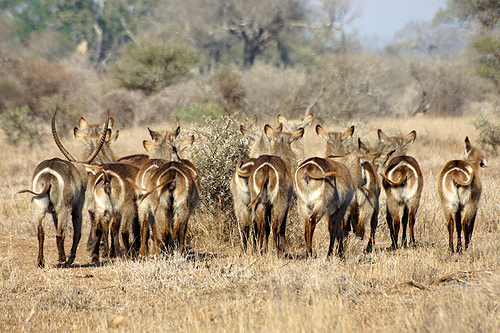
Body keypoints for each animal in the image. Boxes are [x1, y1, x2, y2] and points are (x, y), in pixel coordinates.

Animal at [17, 107, 109, 268]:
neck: (77, 170)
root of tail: (49, 174)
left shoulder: (53, 213)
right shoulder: (77, 209)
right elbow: (77, 233)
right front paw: (71, 258)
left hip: (39, 207)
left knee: (41, 232)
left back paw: (41, 262)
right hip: (63, 209)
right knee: (60, 233)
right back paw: (62, 260)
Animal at [247, 123, 304, 255]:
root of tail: (267, 168)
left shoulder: (267, 204)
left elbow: (266, 228)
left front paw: (264, 249)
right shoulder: (286, 203)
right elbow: (282, 227)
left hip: (259, 202)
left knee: (261, 225)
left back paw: (261, 252)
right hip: (279, 202)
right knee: (276, 226)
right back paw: (280, 252)